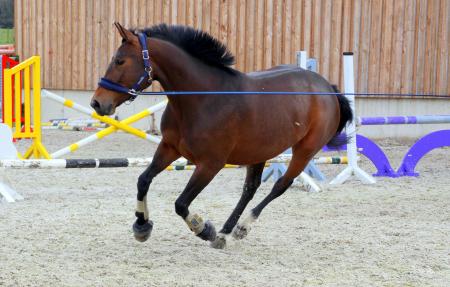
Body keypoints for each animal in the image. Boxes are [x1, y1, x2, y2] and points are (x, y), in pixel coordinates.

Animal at [91, 23, 352, 250]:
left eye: (120, 61)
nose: (97, 103)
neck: (203, 99)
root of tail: (327, 88)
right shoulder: (169, 147)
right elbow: (143, 180)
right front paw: (142, 225)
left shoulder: (210, 164)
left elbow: (181, 203)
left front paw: (203, 228)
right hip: (259, 150)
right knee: (250, 188)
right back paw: (226, 233)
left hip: (305, 150)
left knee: (280, 185)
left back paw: (241, 228)